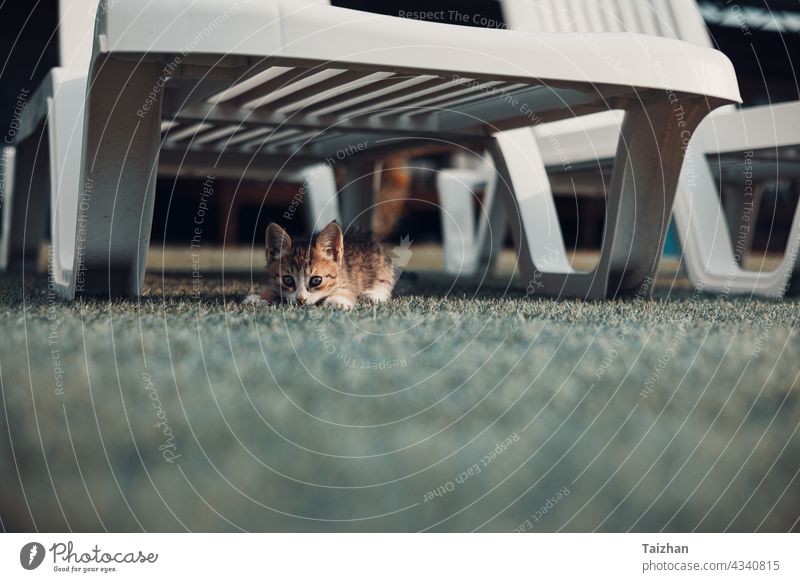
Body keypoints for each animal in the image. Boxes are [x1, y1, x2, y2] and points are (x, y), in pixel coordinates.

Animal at [250, 222, 396, 310]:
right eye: (288, 280)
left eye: (316, 280)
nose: (301, 300)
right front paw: (259, 297)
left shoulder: (345, 280)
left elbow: (346, 292)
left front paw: (337, 301)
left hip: (382, 269)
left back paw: (372, 294)